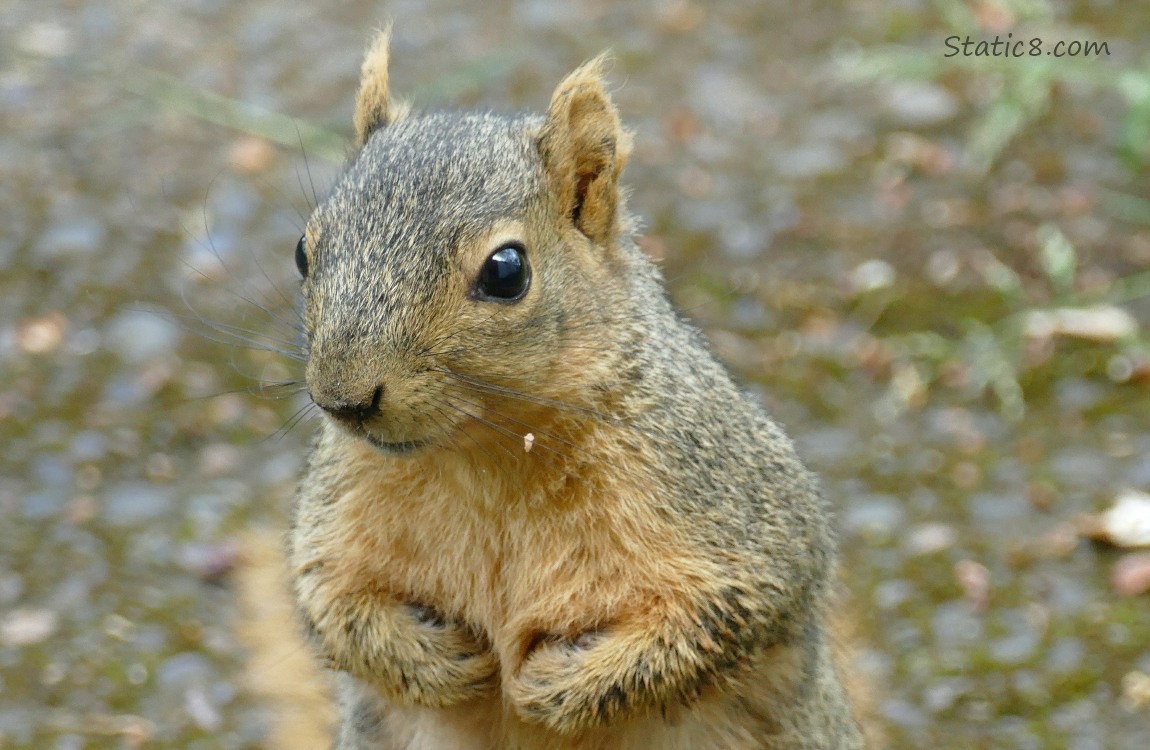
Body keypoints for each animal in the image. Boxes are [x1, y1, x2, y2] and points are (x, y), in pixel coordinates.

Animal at [285, 29, 864, 750]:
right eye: (303, 252)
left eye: (507, 271)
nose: (344, 400)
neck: (489, 453)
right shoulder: (338, 509)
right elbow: (328, 597)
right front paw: (442, 661)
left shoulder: (735, 511)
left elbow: (722, 617)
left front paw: (556, 686)